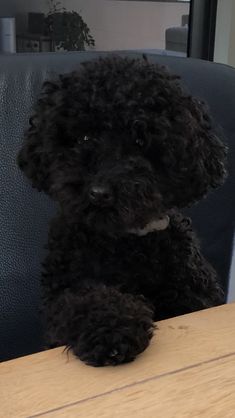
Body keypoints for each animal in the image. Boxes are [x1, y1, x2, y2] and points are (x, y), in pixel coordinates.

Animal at [18, 55, 228, 366]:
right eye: (84, 137)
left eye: (141, 141)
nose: (99, 193)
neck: (122, 245)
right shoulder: (63, 292)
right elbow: (81, 299)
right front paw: (112, 327)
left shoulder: (196, 294)